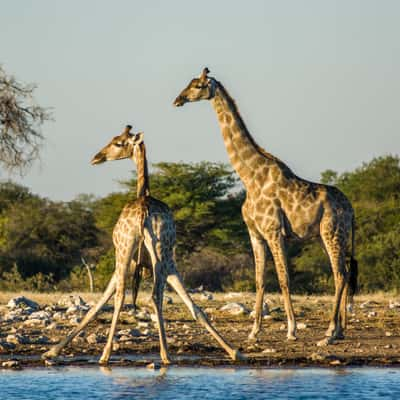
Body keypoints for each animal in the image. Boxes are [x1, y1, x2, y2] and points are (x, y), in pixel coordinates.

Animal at [42, 126, 242, 364]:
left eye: (118, 143)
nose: (96, 158)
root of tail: (143, 213)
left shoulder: (130, 262)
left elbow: (98, 304)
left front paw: (52, 351)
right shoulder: (164, 264)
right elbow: (195, 308)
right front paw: (234, 351)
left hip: (129, 251)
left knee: (130, 296)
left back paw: (122, 354)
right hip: (159, 253)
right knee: (158, 296)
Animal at [173, 69, 358, 346]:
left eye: (197, 85)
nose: (178, 99)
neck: (250, 177)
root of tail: (351, 210)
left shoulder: (273, 231)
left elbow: (283, 278)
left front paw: (291, 329)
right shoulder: (255, 233)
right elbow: (259, 280)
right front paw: (253, 331)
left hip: (332, 232)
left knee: (340, 274)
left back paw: (329, 332)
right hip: (334, 236)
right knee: (344, 273)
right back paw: (340, 329)